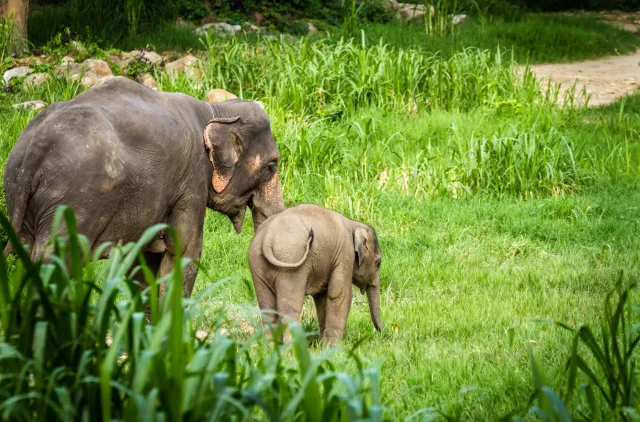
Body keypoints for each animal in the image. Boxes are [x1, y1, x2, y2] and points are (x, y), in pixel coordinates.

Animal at [3, 76, 284, 298]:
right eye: (271, 166)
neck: (215, 111)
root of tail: (33, 150)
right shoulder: (192, 180)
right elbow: (185, 249)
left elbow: (144, 260)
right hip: (74, 200)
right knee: (58, 258)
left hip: (20, 193)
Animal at [248, 204, 384, 344]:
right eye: (378, 263)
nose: (383, 332)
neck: (354, 224)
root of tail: (267, 237)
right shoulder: (345, 253)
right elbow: (339, 293)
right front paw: (333, 346)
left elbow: (321, 296)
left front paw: (323, 344)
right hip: (290, 264)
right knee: (289, 310)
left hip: (257, 263)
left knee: (267, 311)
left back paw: (271, 346)